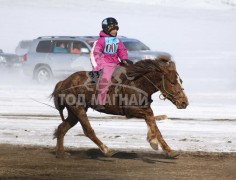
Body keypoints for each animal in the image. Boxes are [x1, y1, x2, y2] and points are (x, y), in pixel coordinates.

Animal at [51, 55, 188, 158]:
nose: (184, 102)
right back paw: (108, 150)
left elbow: (155, 126)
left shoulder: (144, 108)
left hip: (74, 112)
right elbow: (150, 117)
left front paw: (169, 150)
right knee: (88, 131)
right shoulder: (131, 110)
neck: (137, 83)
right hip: (78, 108)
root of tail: (63, 82)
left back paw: (61, 153)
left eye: (180, 81)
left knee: (62, 128)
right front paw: (153, 142)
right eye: (172, 82)